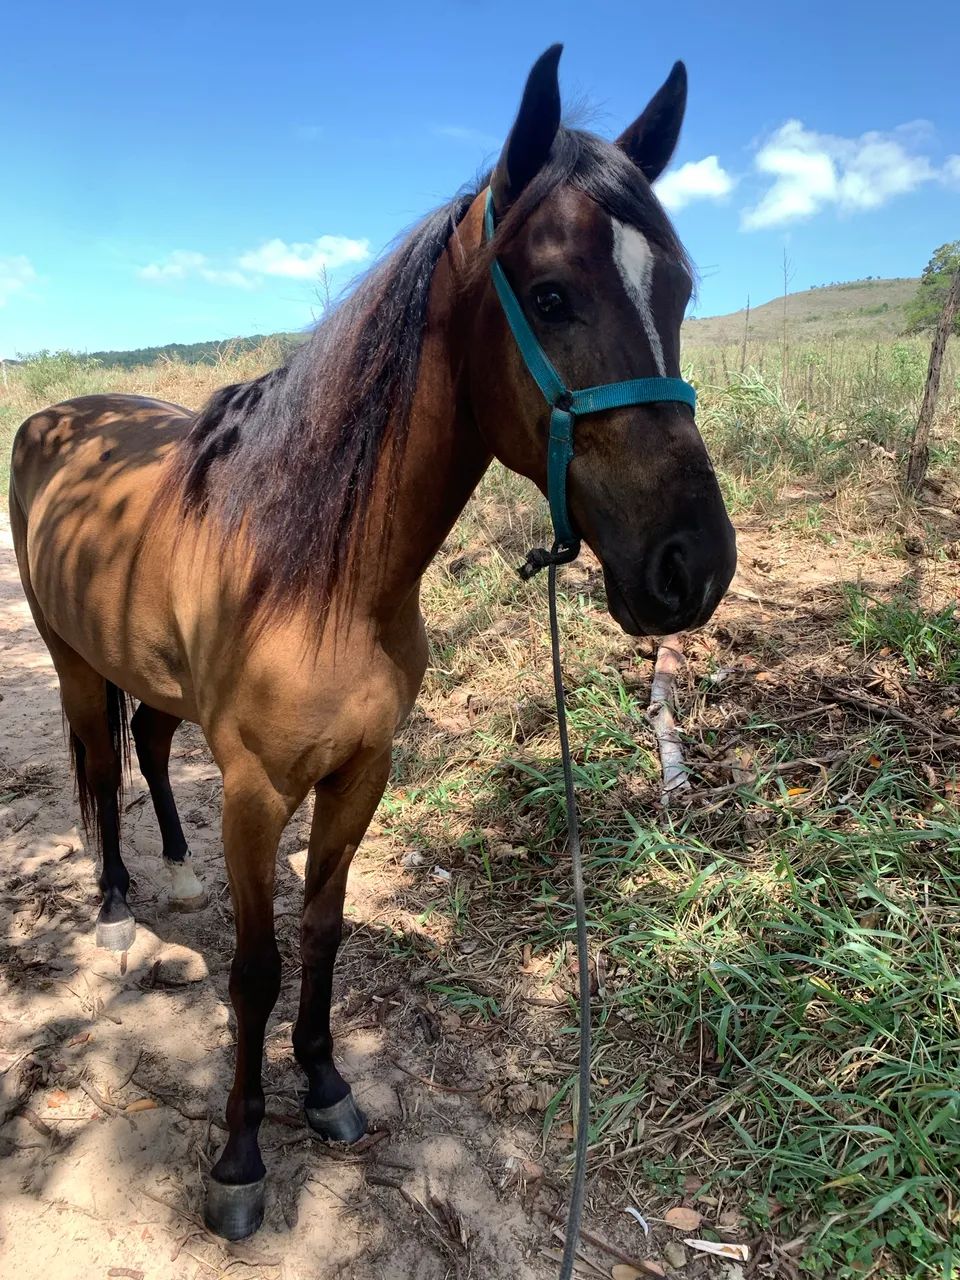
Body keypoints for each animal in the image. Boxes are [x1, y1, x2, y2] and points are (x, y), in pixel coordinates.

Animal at [9, 45, 737, 1239]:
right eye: (550, 295)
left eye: (676, 291)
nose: (695, 565)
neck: (321, 570)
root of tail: (57, 417)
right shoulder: (259, 788)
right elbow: (256, 967)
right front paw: (242, 1158)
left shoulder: (363, 770)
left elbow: (323, 929)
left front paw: (326, 1084)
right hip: (75, 665)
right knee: (98, 770)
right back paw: (116, 908)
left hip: (150, 675)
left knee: (150, 746)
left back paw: (175, 869)